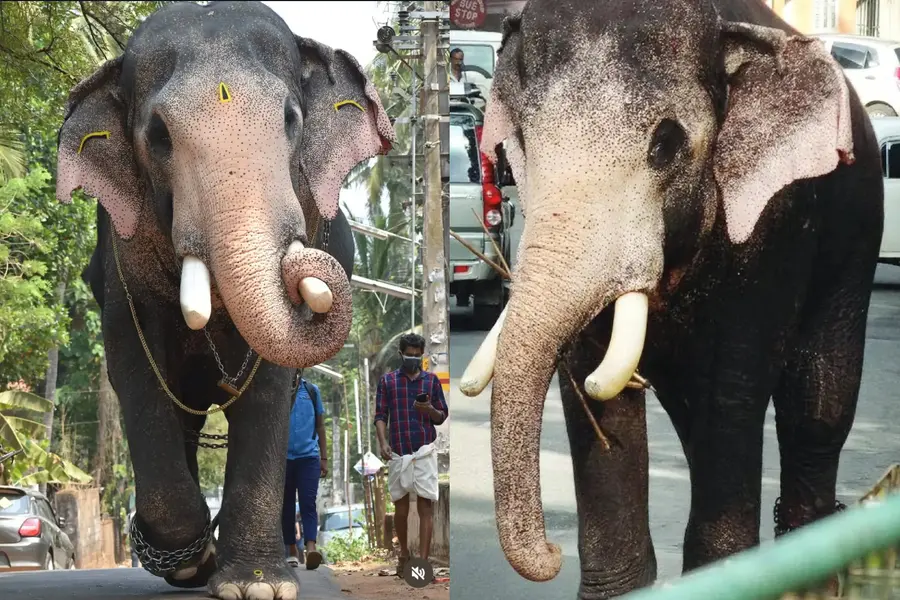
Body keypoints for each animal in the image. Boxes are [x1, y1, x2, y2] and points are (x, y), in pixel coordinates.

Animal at [55, 2, 394, 599]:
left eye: (290, 118)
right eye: (158, 135)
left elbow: (271, 385)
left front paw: (257, 586)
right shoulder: (121, 248)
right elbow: (133, 364)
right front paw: (192, 557)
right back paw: (191, 561)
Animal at [460, 0, 884, 597]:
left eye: (665, 144)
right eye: (519, 139)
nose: (550, 553)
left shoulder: (771, 231)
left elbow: (731, 394)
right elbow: (595, 393)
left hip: (855, 242)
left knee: (817, 409)